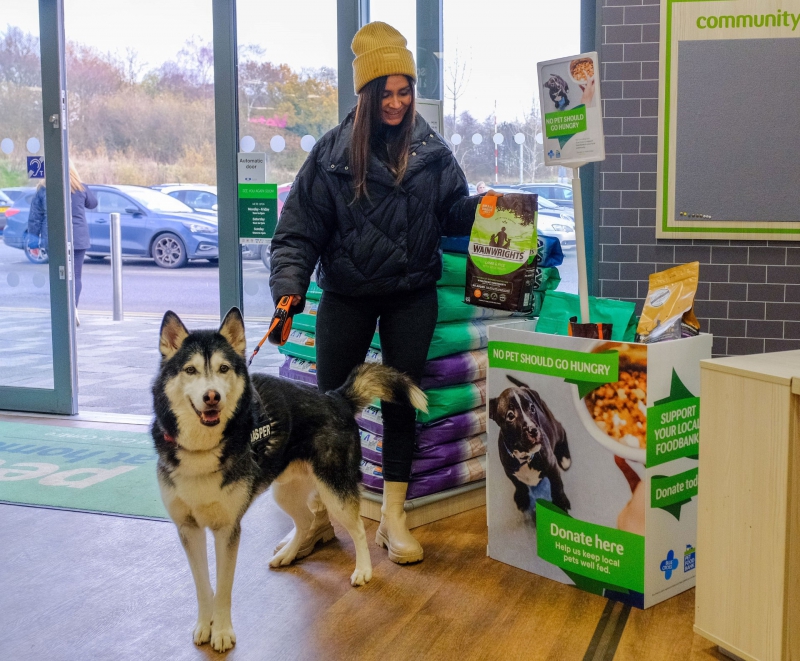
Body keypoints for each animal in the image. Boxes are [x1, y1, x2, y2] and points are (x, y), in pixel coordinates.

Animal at [150, 310, 424, 648]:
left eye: (223, 368)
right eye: (190, 370)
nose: (211, 397)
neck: (203, 448)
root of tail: (335, 398)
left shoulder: (228, 530)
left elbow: (224, 589)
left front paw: (223, 631)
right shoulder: (188, 529)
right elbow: (203, 586)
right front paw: (205, 625)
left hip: (334, 490)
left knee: (358, 529)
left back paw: (363, 571)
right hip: (284, 492)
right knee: (305, 521)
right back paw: (289, 555)